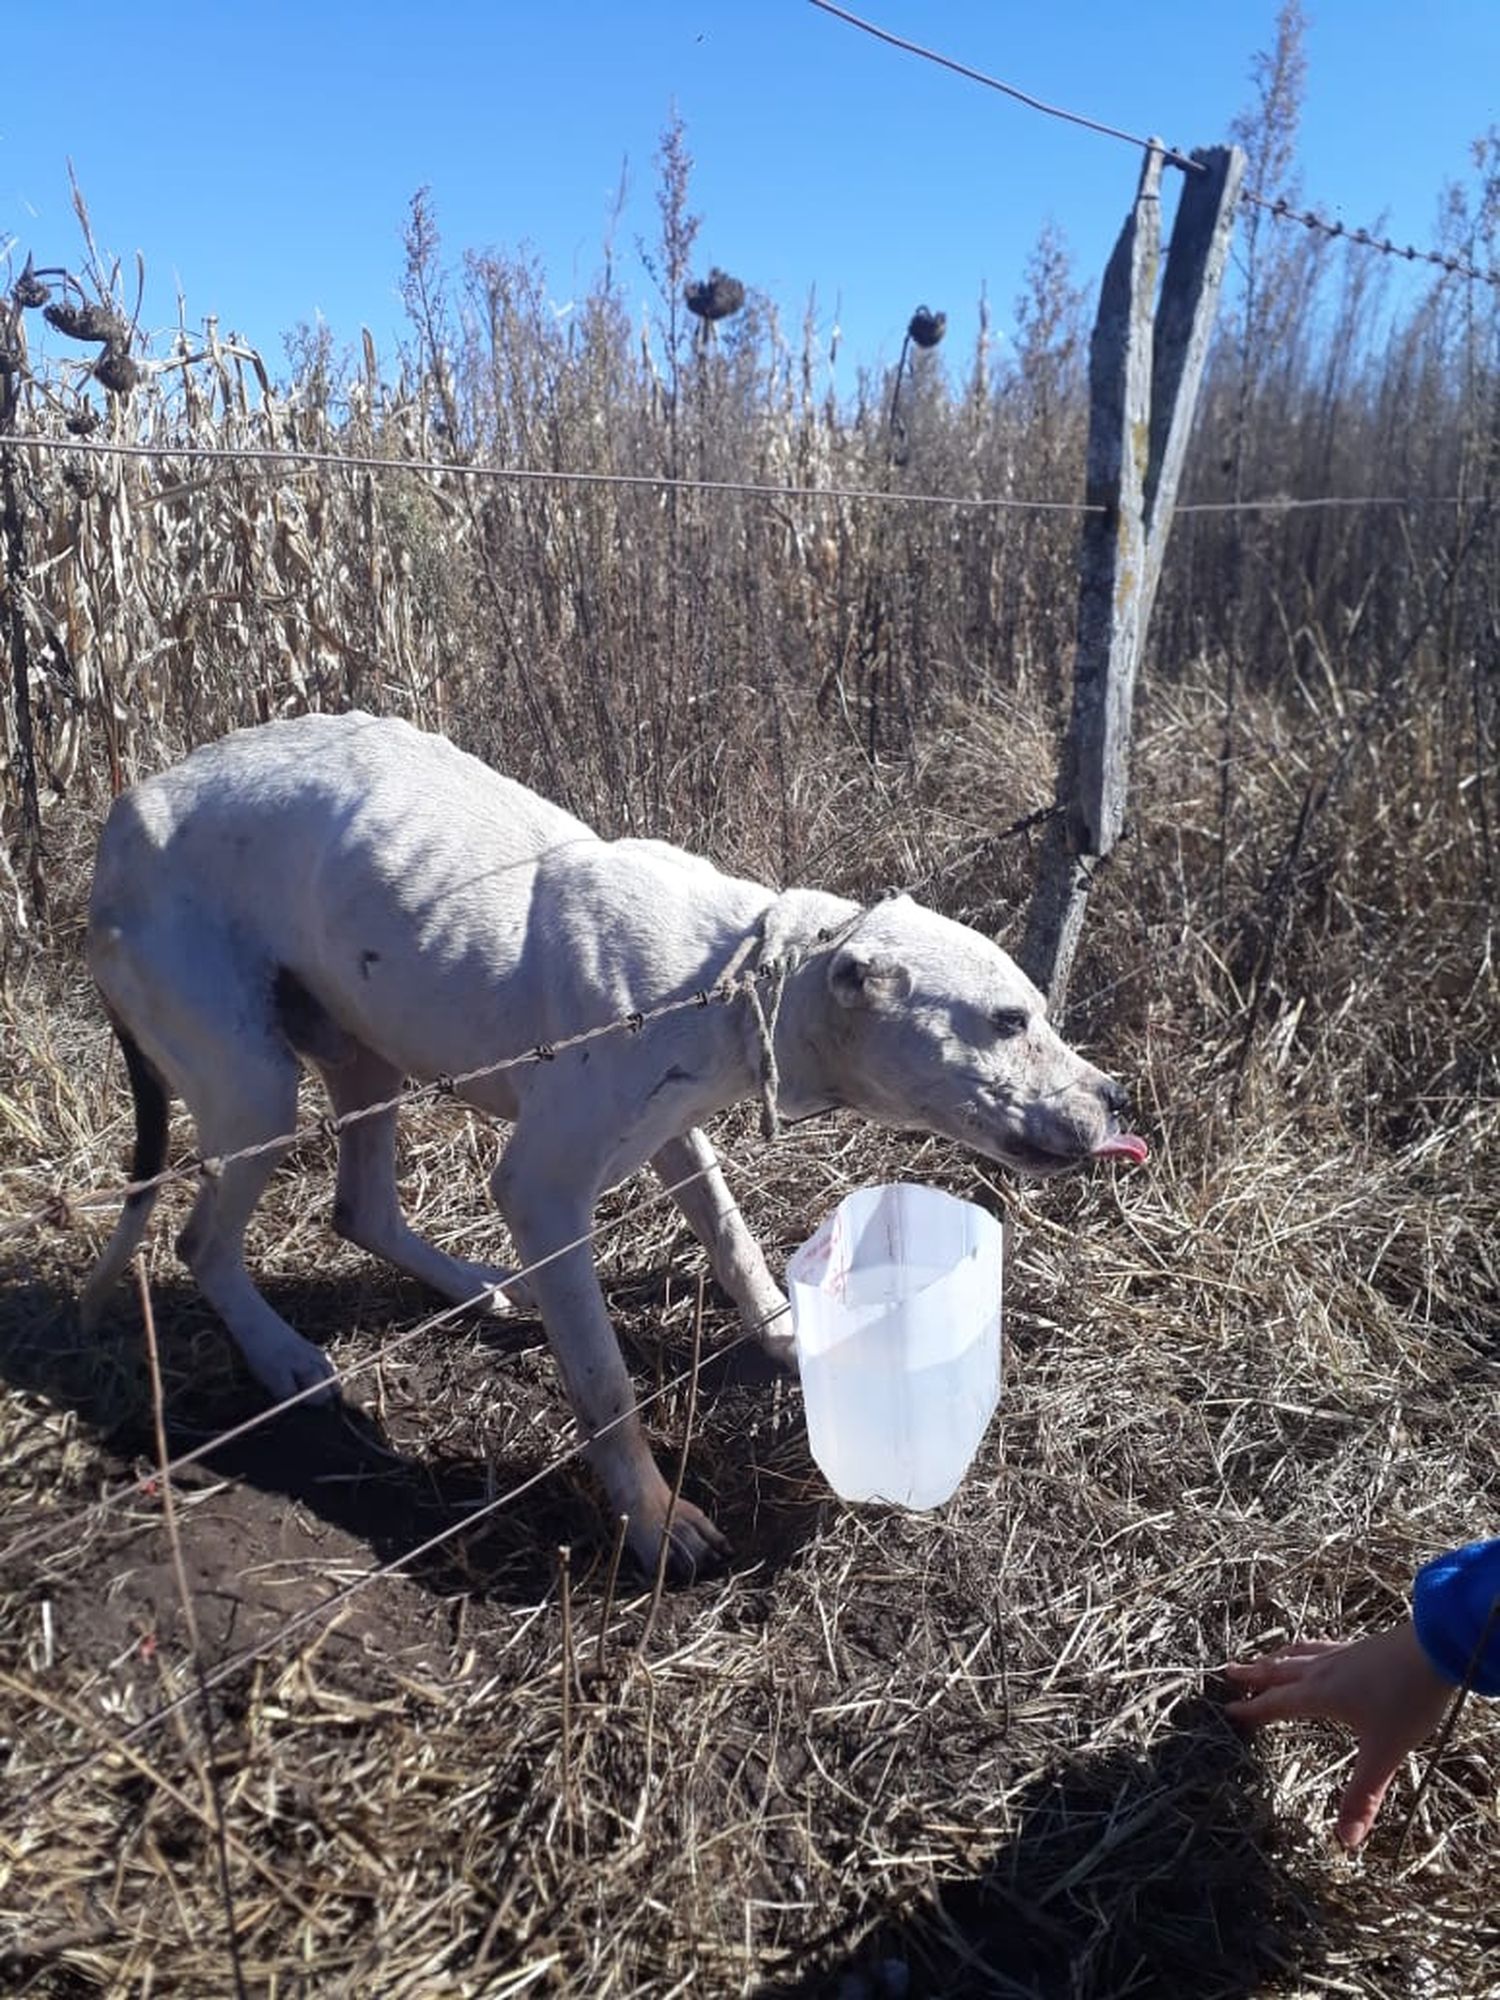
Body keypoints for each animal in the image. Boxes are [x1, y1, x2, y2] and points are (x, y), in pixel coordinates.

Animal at [82, 712, 1144, 1568]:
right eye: (1009, 1020)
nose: (1118, 1098)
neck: (737, 974)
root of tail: (120, 820)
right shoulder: (542, 1191)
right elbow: (603, 1386)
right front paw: (655, 1519)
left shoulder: (677, 1136)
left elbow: (733, 1239)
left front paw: (789, 1333)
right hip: (256, 1094)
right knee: (200, 1242)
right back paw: (281, 1357)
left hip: (361, 1058)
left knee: (360, 1208)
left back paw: (469, 1288)